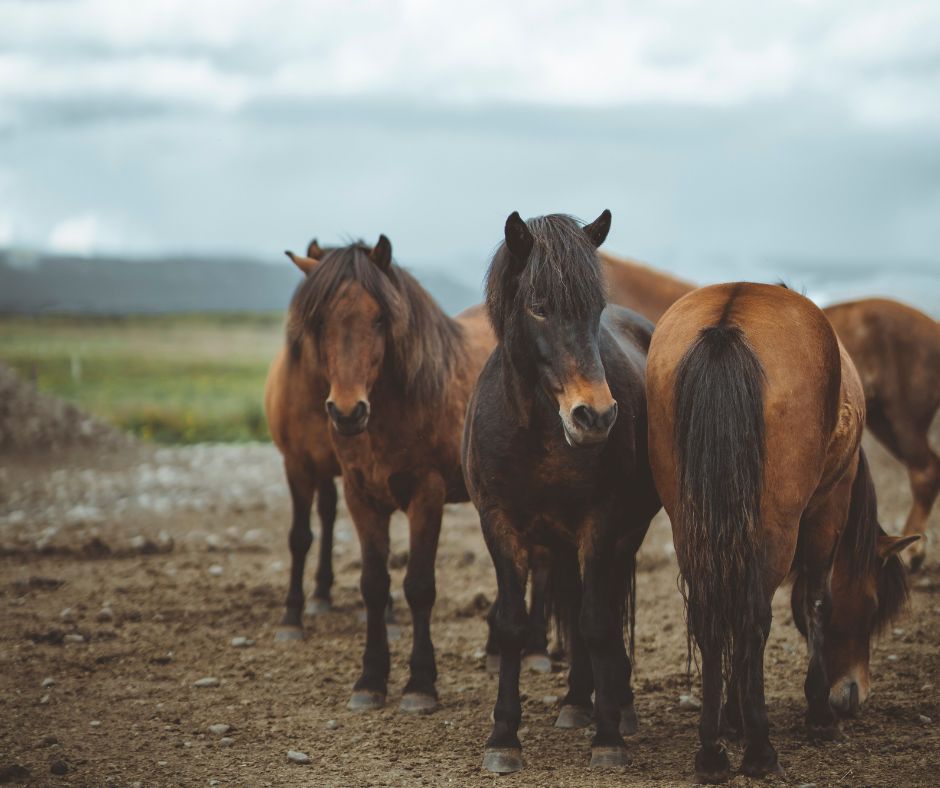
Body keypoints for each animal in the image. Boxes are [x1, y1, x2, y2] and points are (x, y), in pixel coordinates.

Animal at [284, 236, 495, 714]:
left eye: (380, 317)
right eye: (319, 320)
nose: (347, 412)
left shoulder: (427, 496)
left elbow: (418, 586)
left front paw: (420, 684)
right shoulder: (361, 497)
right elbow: (374, 585)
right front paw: (370, 680)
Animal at [462, 211, 661, 774]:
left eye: (593, 309)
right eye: (538, 306)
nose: (595, 416)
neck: (537, 433)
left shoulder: (602, 522)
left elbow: (596, 622)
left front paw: (608, 737)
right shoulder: (498, 523)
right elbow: (512, 624)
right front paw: (503, 737)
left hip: (623, 533)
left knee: (603, 606)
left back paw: (616, 705)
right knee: (572, 604)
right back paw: (576, 701)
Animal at [646, 282, 917, 783]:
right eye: (872, 606)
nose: (853, 695)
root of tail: (727, 324)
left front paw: (732, 719)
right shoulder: (830, 504)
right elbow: (816, 601)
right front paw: (819, 715)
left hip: (690, 525)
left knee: (710, 618)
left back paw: (712, 753)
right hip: (777, 525)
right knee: (752, 619)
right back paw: (759, 752)